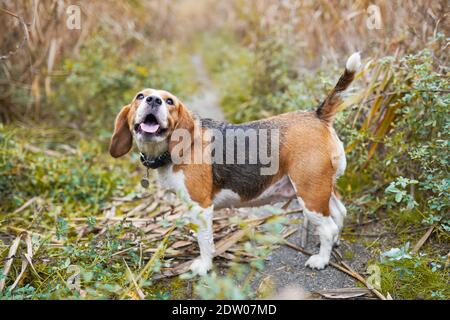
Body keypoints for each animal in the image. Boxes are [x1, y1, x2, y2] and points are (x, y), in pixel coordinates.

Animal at [110, 52, 362, 276]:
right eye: (140, 96)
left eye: (169, 101)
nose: (153, 100)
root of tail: (317, 115)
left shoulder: (201, 207)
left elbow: (204, 240)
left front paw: (204, 266)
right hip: (322, 188)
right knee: (339, 213)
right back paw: (334, 244)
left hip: (309, 194)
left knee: (328, 227)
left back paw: (321, 259)